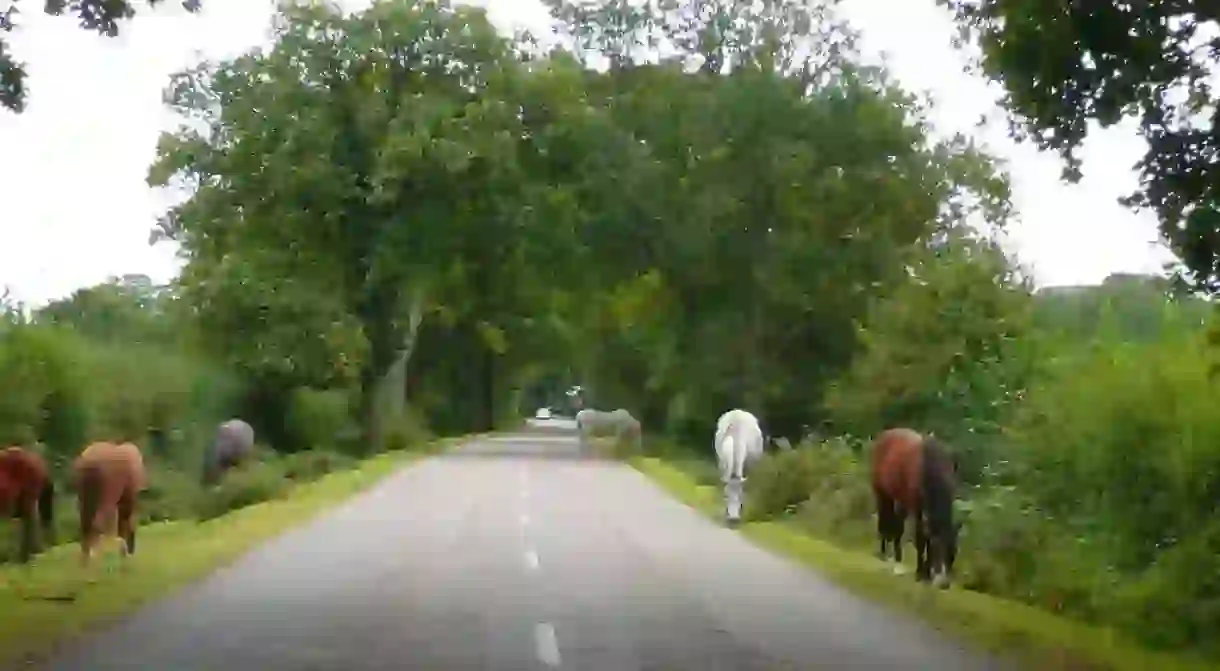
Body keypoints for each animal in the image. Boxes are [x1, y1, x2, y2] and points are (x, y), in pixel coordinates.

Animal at [873, 431, 956, 590]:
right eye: (938, 550)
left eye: (952, 552)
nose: (944, 584)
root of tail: (884, 435)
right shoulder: (917, 509)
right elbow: (921, 538)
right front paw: (920, 573)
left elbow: (926, 537)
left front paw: (926, 575)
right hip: (882, 493)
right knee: (884, 519)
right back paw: (884, 553)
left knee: (897, 525)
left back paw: (897, 559)